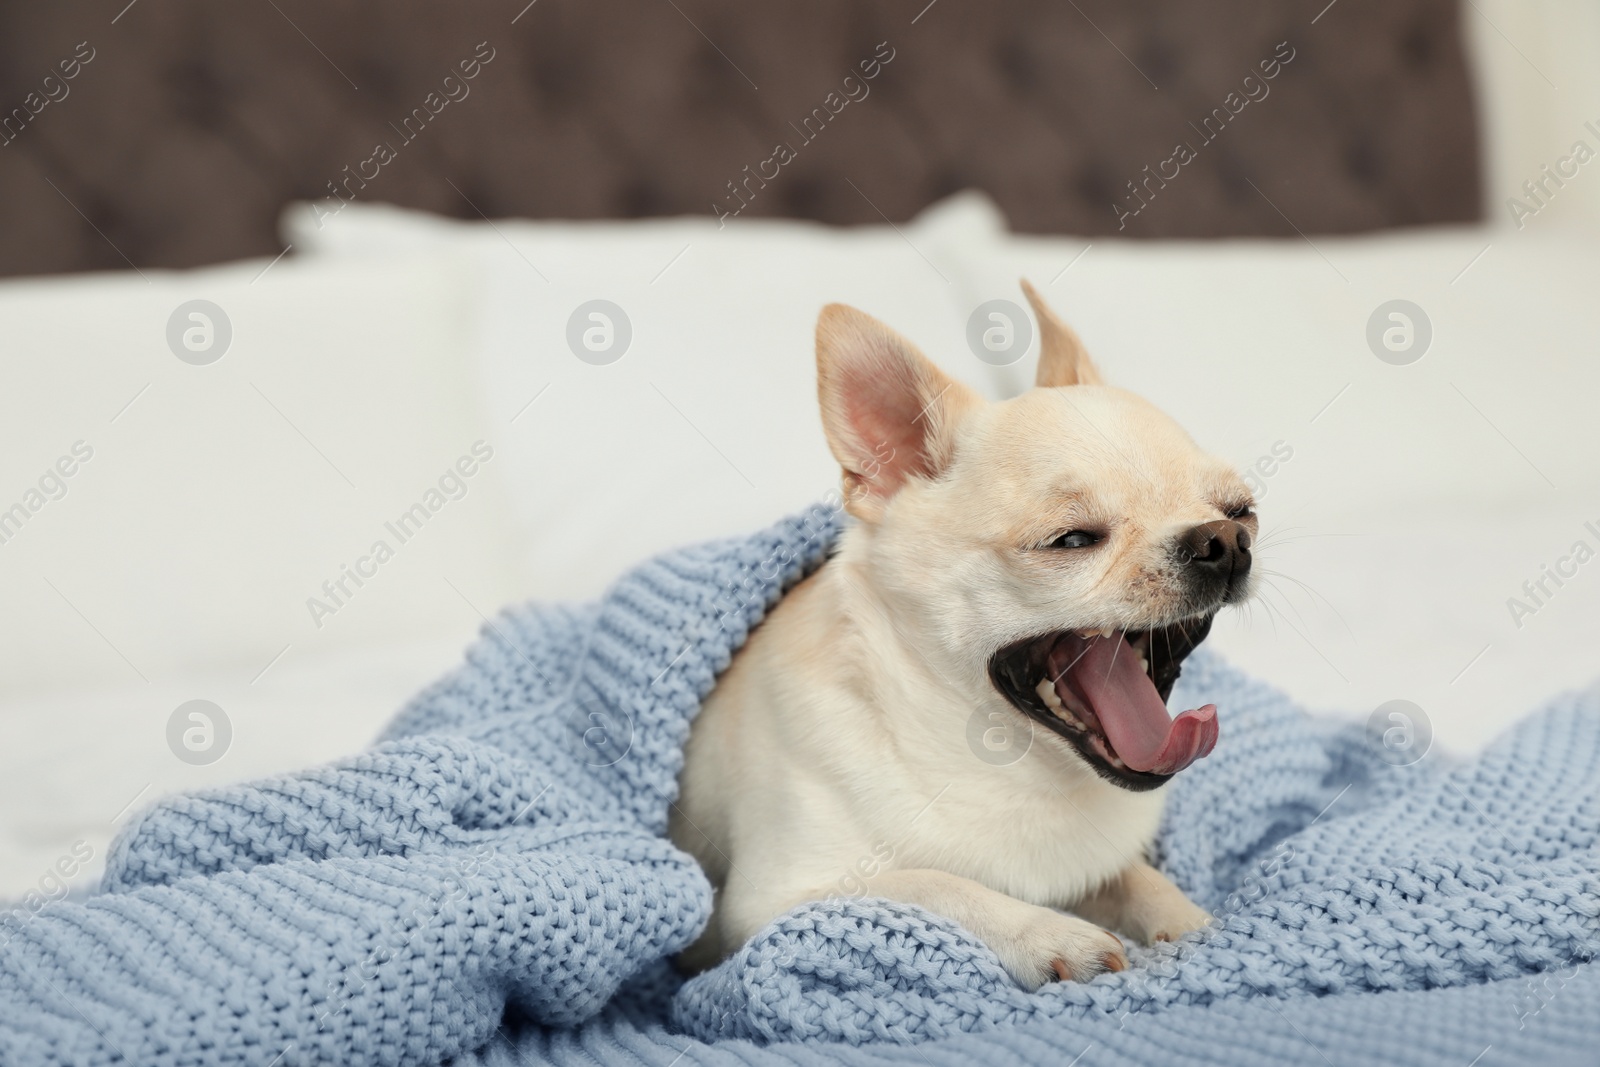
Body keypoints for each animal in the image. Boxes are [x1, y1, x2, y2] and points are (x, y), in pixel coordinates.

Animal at [668, 279, 1254, 991]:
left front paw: (1191, 924)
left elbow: (1136, 878)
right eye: (1072, 540)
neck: (1000, 763)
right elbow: (935, 885)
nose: (1226, 541)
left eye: (1241, 510)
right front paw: (1049, 932)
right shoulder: (774, 905)